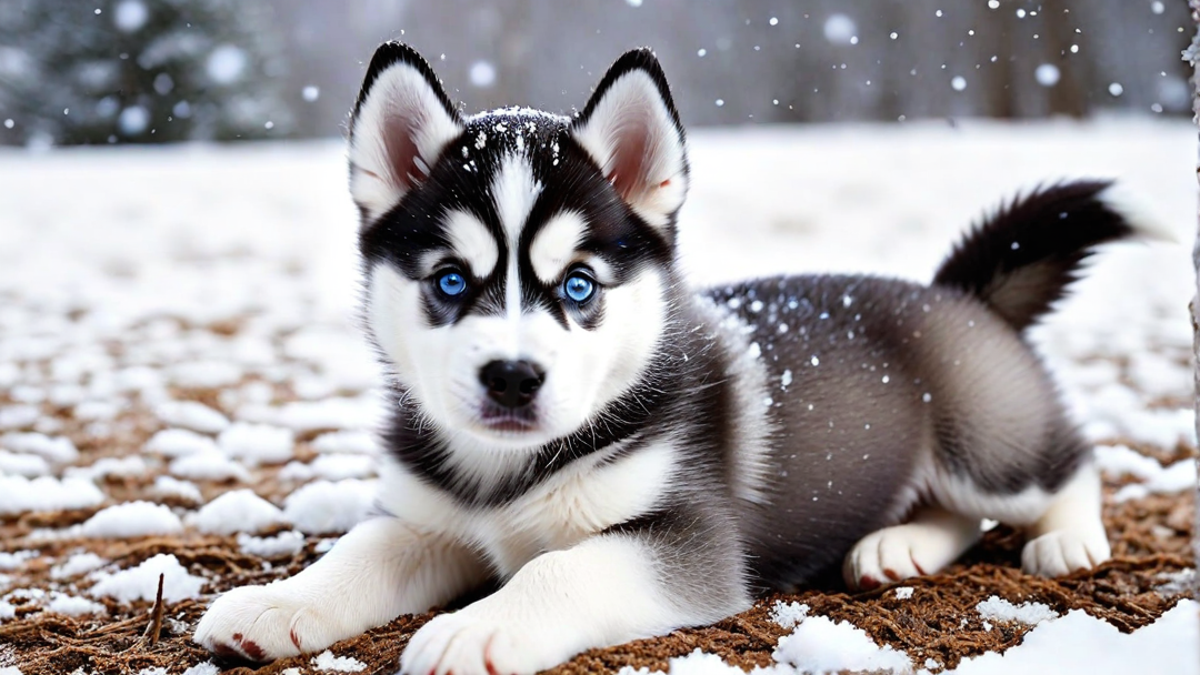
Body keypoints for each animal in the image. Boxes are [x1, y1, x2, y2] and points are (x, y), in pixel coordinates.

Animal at [194, 43, 1132, 672]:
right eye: (450, 280)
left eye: (579, 286)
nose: (511, 377)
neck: (509, 473)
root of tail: (956, 293)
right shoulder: (425, 520)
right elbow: (354, 555)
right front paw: (276, 600)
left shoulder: (687, 538)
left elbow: (566, 564)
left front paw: (478, 624)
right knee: (953, 510)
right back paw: (894, 546)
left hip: (986, 440)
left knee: (1066, 462)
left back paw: (1066, 538)